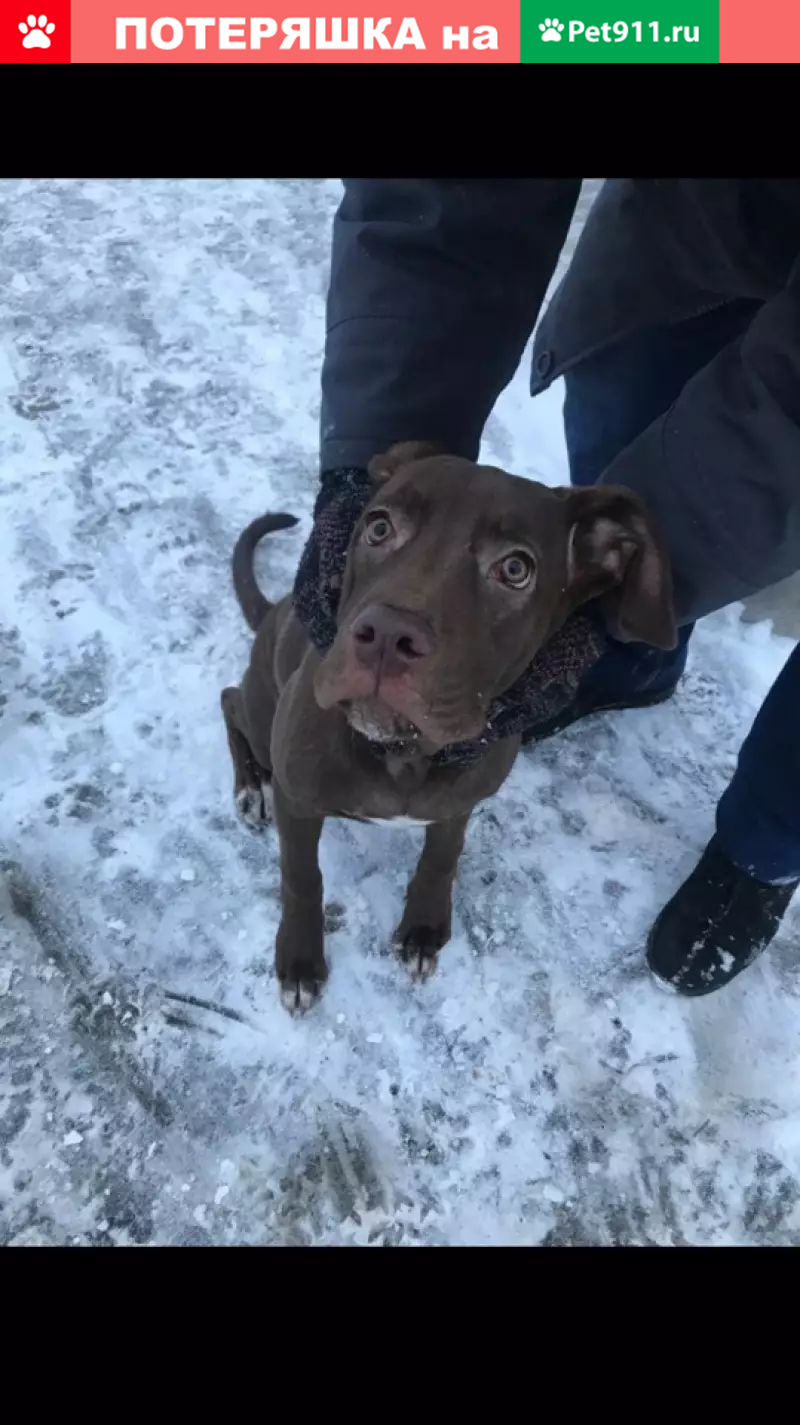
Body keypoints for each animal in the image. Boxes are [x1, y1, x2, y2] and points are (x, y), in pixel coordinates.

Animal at [219, 444, 673, 1014]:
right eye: (379, 527)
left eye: (516, 568)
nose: (386, 635)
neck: (404, 753)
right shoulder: (298, 799)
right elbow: (302, 877)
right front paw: (301, 961)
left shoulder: (461, 798)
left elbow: (442, 856)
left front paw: (423, 928)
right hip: (265, 715)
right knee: (230, 700)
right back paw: (250, 786)